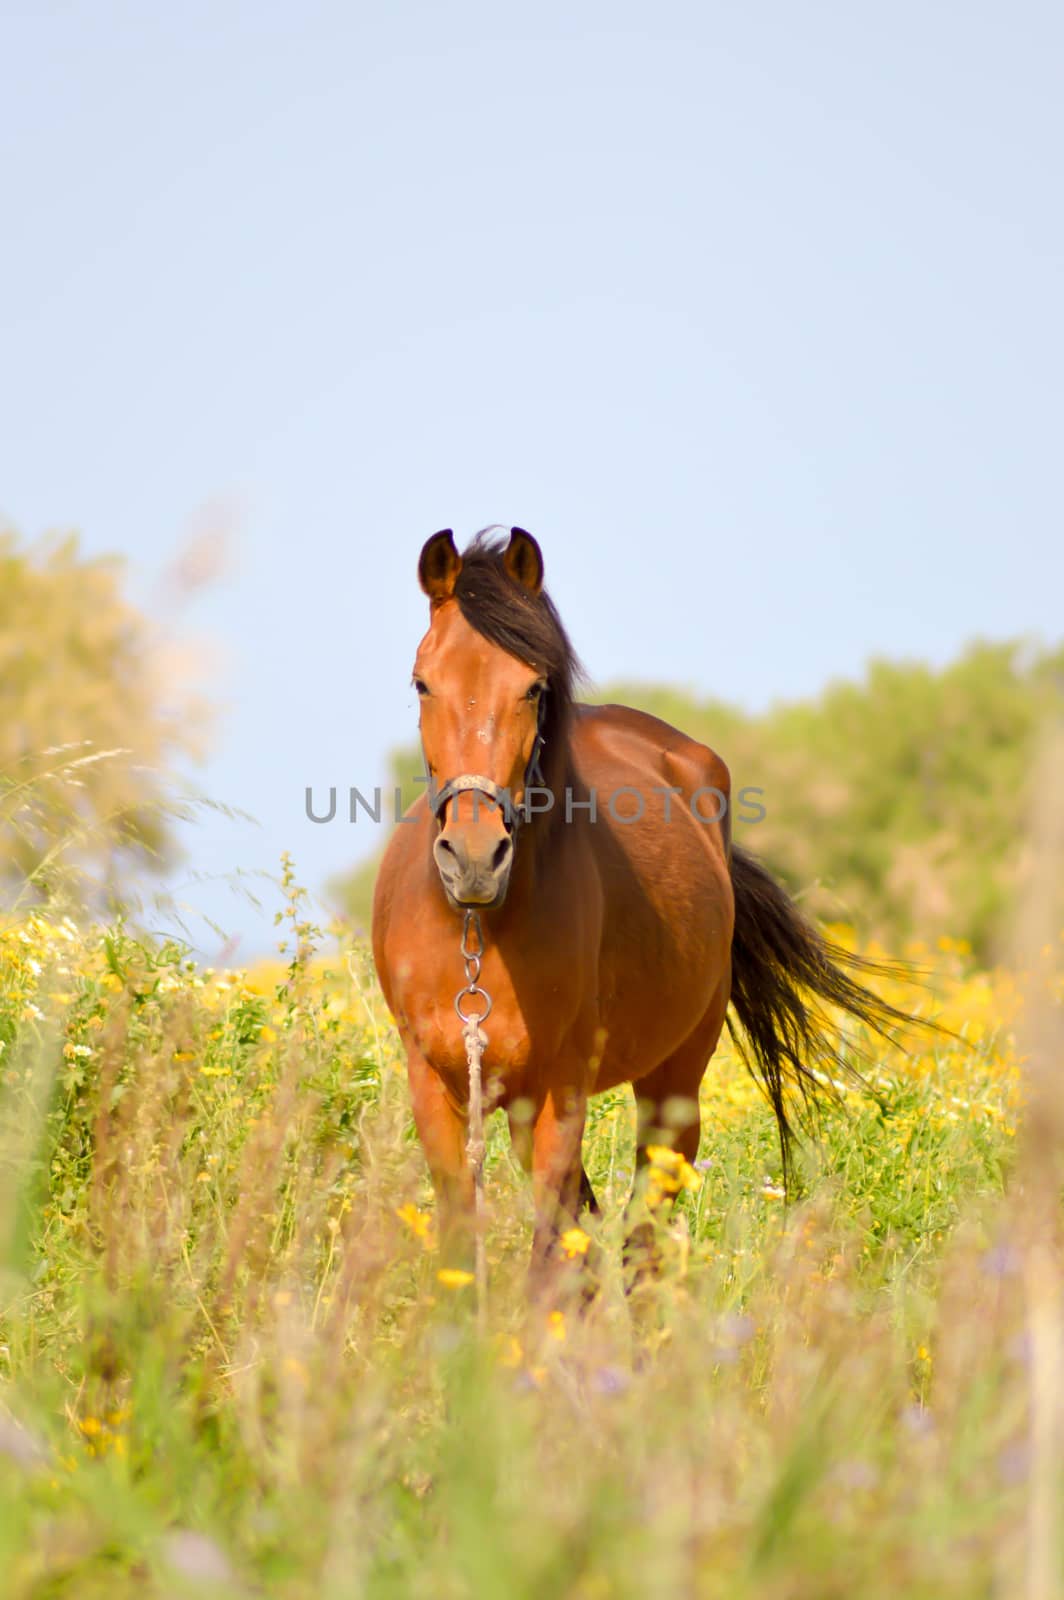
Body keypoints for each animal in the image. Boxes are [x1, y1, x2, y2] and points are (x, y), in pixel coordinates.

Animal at [369, 531, 908, 1292]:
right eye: (423, 682)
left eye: (533, 687)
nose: (474, 859)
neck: (477, 931)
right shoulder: (438, 1090)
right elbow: (465, 1252)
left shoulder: (560, 1094)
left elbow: (552, 1256)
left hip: (674, 1084)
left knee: (642, 1240)